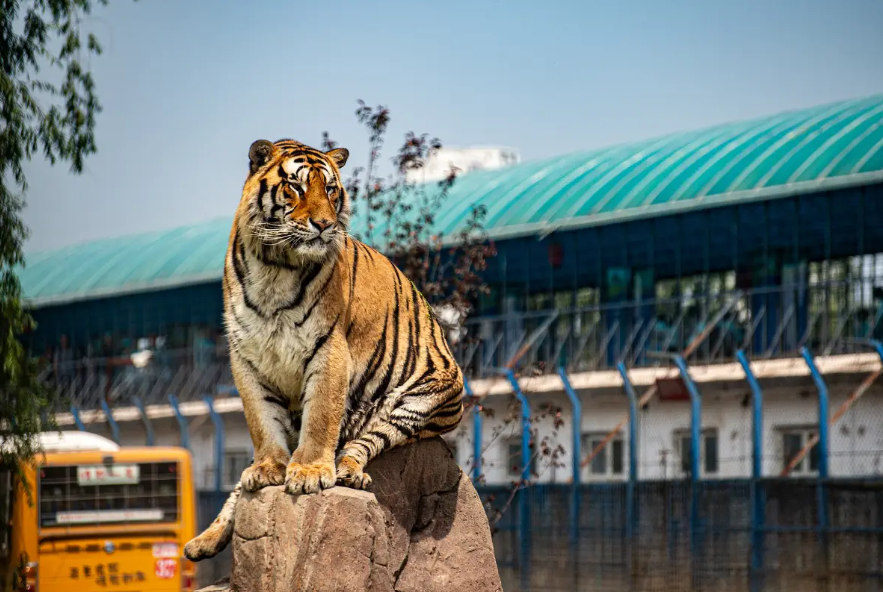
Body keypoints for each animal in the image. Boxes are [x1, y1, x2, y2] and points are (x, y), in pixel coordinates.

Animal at [183, 138, 464, 561]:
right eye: (296, 187)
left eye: (331, 190)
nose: (324, 224)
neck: (275, 267)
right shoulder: (246, 355)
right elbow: (260, 421)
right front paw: (268, 468)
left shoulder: (328, 349)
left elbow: (320, 418)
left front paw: (310, 473)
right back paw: (203, 540)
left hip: (422, 401)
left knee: (365, 441)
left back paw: (349, 471)